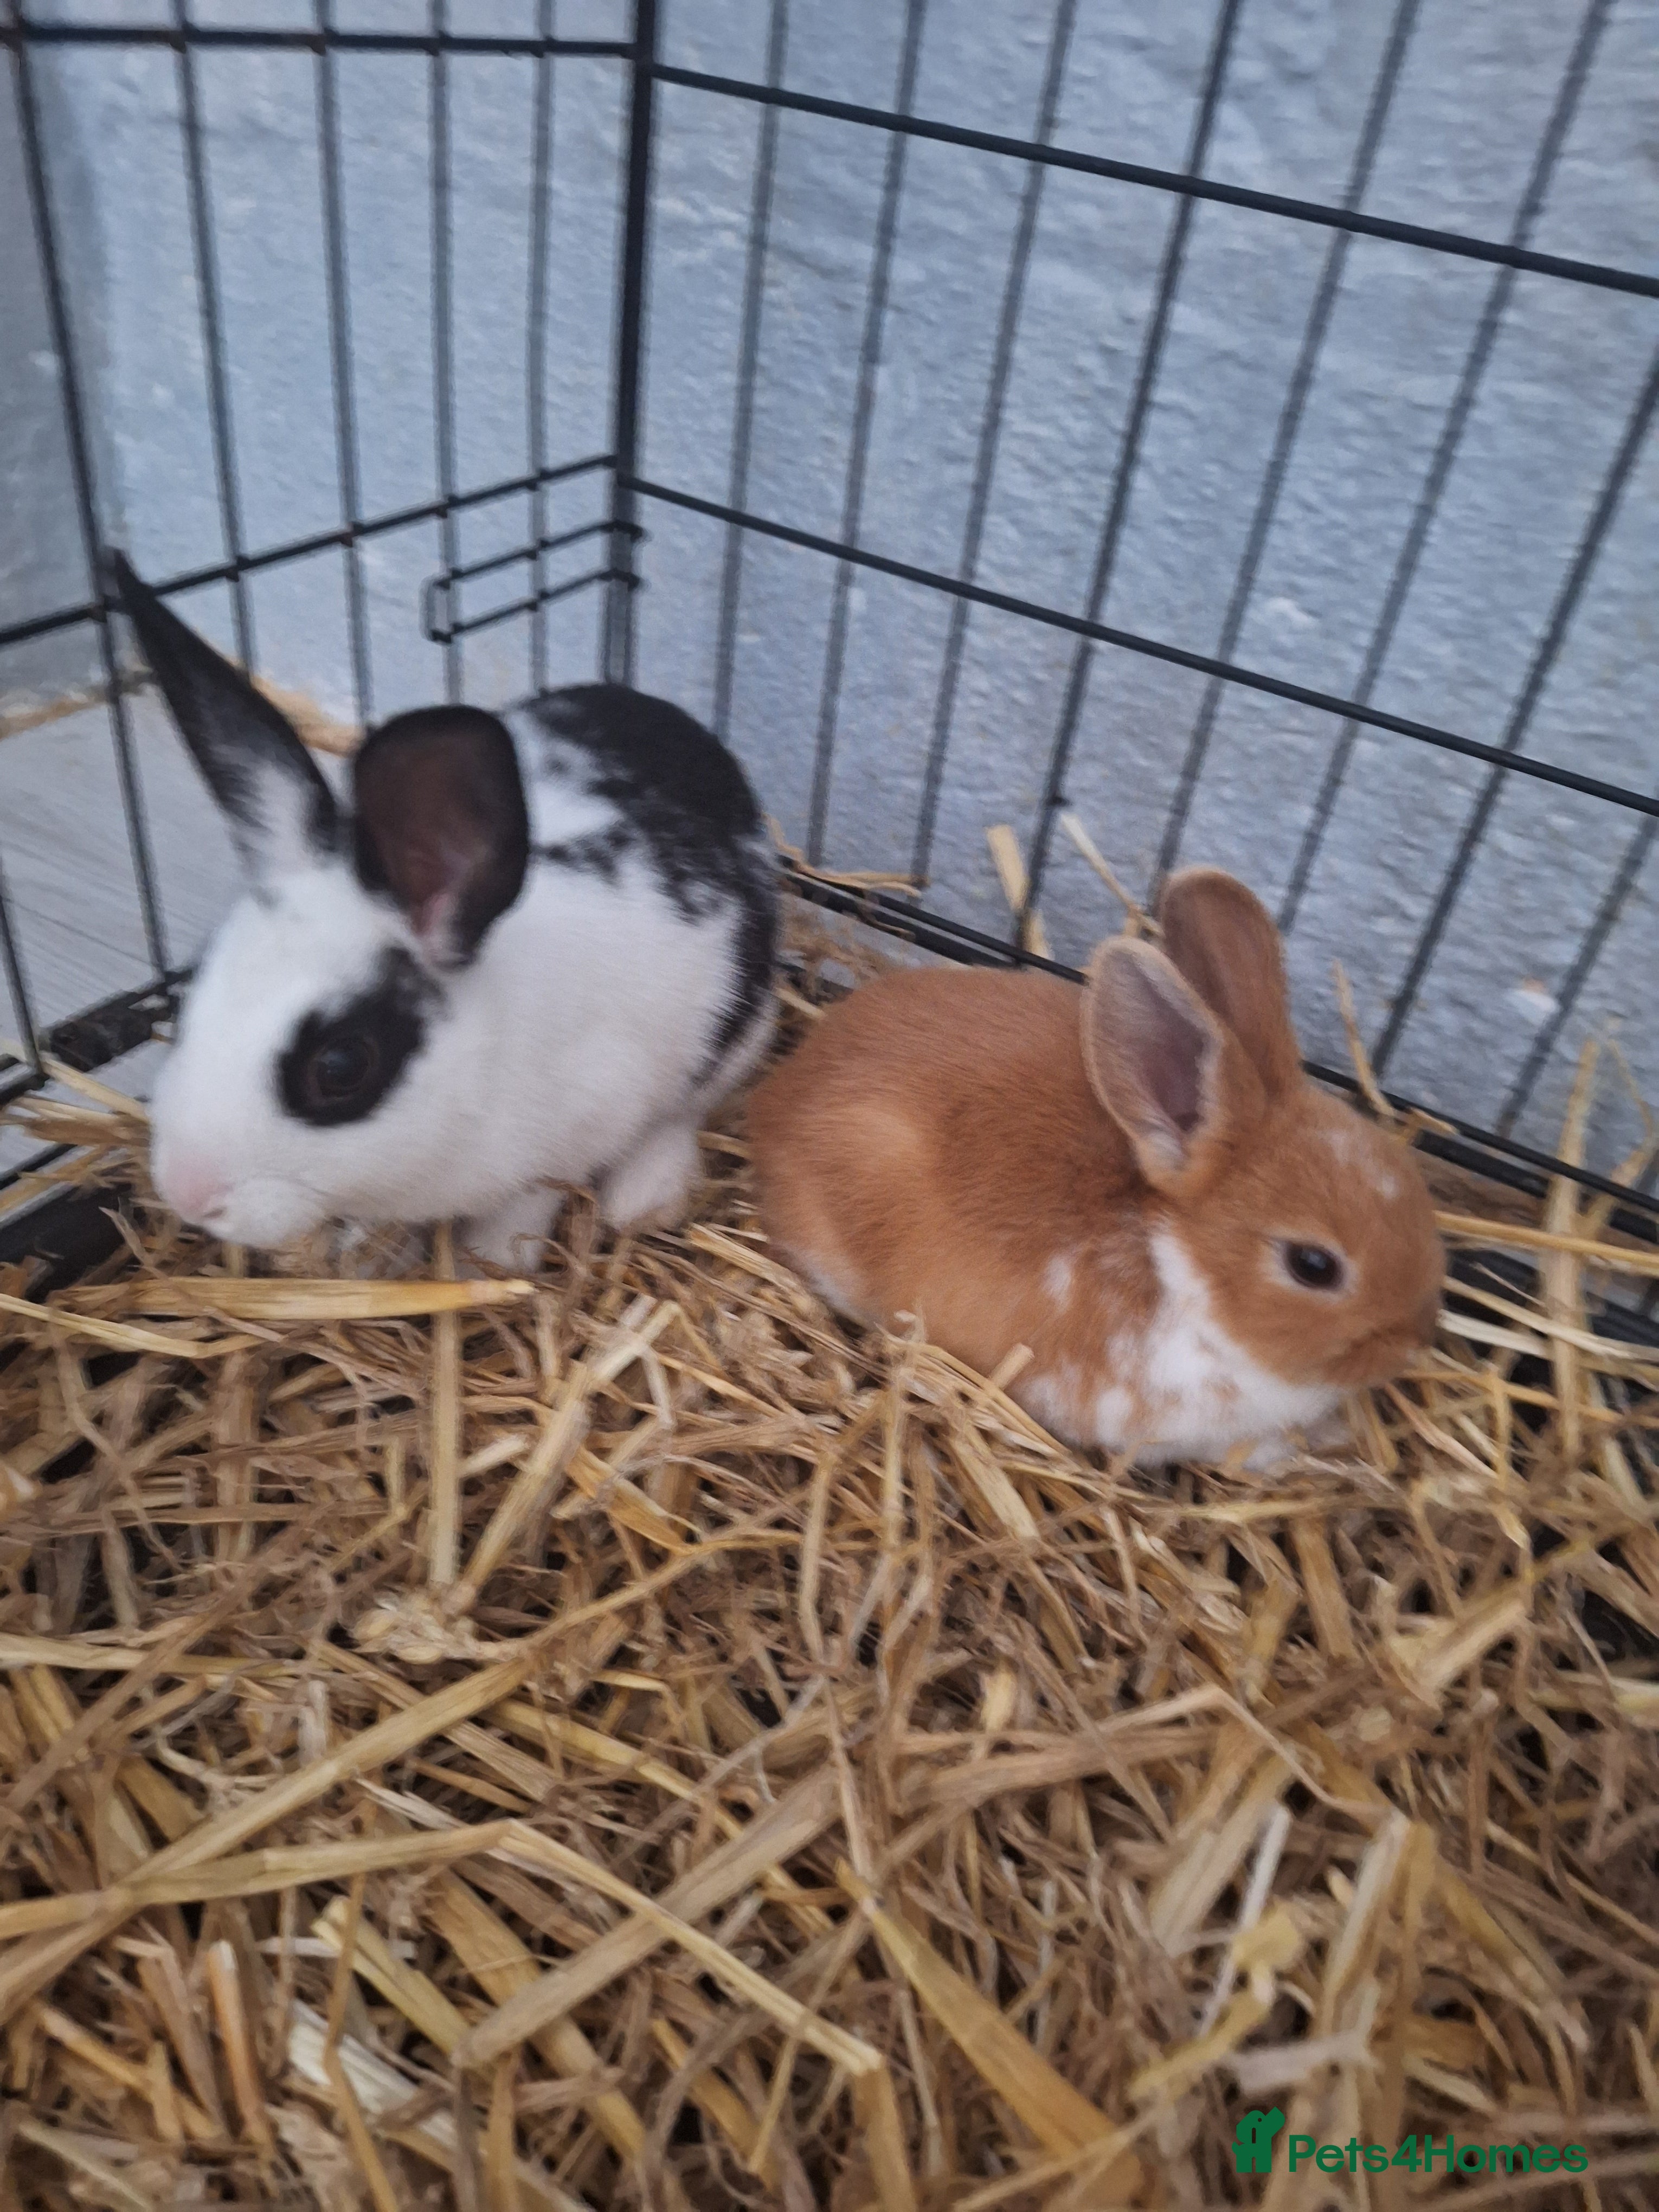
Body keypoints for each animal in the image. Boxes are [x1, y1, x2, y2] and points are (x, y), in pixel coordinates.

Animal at [111, 553, 778, 1269]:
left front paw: (488, 1265)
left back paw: (643, 1199)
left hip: (736, 1033)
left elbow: (517, 1216)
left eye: (341, 1068)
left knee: (685, 1112)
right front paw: (373, 1261)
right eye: (193, 1000)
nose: (187, 1193)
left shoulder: (568, 1142)